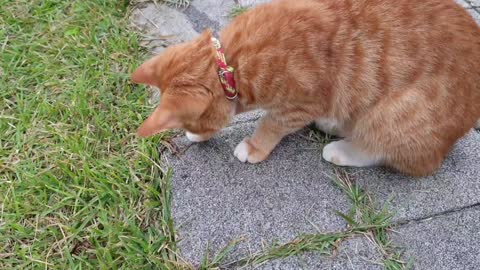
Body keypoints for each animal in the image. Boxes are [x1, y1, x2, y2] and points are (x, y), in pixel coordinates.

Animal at [130, 0, 480, 176]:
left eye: (193, 123)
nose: (192, 133)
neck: (232, 63)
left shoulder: (301, 103)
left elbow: (271, 123)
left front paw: (254, 146)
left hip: (395, 115)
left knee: (401, 156)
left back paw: (343, 149)